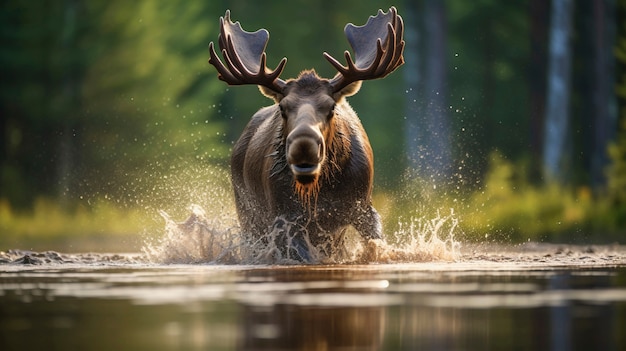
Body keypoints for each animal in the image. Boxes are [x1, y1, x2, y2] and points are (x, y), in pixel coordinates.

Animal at [208, 6, 404, 262]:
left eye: (331, 107)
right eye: (283, 108)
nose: (304, 145)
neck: (319, 192)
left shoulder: (363, 209)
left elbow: (377, 243)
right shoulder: (284, 219)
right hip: (248, 215)